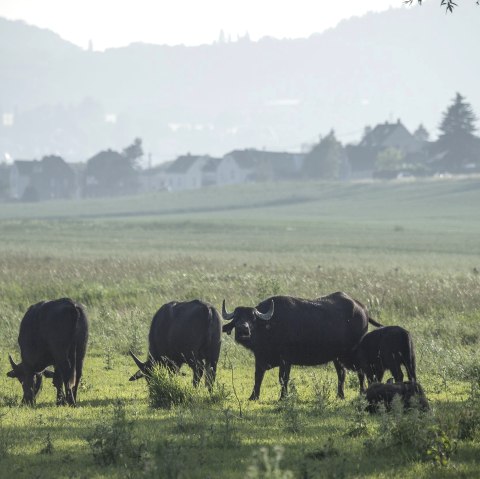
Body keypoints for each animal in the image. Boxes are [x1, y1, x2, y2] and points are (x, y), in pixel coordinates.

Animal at [221, 292, 382, 402]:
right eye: (237, 318)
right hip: (337, 357)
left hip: (354, 353)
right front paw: (253, 396)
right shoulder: (260, 358)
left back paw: (361, 393)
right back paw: (340, 395)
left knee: (361, 372)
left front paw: (283, 397)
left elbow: (283, 378)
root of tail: (362, 308)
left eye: (252, 318)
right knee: (342, 373)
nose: (243, 330)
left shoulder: (285, 360)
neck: (271, 326)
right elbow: (258, 377)